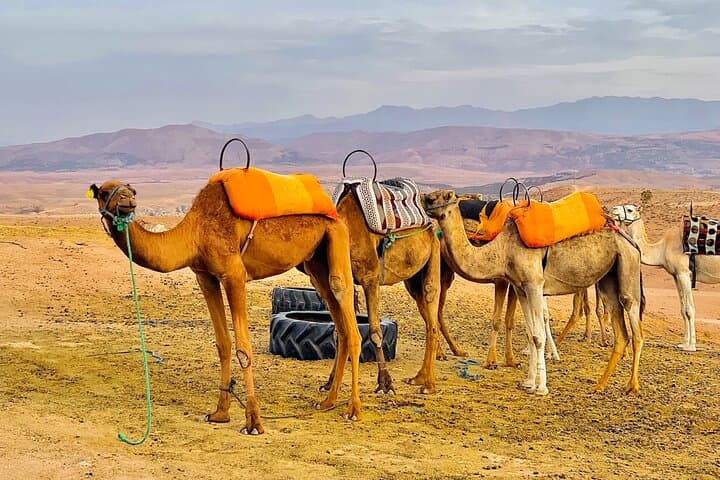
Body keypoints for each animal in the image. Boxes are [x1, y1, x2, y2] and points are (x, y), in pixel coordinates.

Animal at [89, 178, 362, 435]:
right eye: (104, 192)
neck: (194, 232)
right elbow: (223, 343)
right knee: (338, 323)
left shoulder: (234, 274)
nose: (128, 201)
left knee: (345, 304)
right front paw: (220, 412)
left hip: (336, 236)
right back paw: (327, 401)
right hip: (315, 261)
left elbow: (244, 348)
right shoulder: (205, 276)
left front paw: (253, 421)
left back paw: (353, 409)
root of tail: (332, 208)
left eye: (132, 191)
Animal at [424, 190, 644, 395]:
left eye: (445, 196)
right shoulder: (520, 287)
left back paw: (632, 386)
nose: (425, 199)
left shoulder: (534, 284)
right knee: (621, 332)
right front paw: (529, 382)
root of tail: (630, 242)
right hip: (608, 280)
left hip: (628, 266)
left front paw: (541, 387)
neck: (502, 248)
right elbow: (531, 335)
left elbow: (538, 336)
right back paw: (599, 385)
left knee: (634, 324)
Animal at [611, 203, 720, 351]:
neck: (662, 249)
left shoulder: (684, 273)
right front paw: (683, 343)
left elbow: (689, 309)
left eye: (630, 209)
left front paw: (691, 346)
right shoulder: (676, 275)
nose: (613, 209)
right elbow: (683, 310)